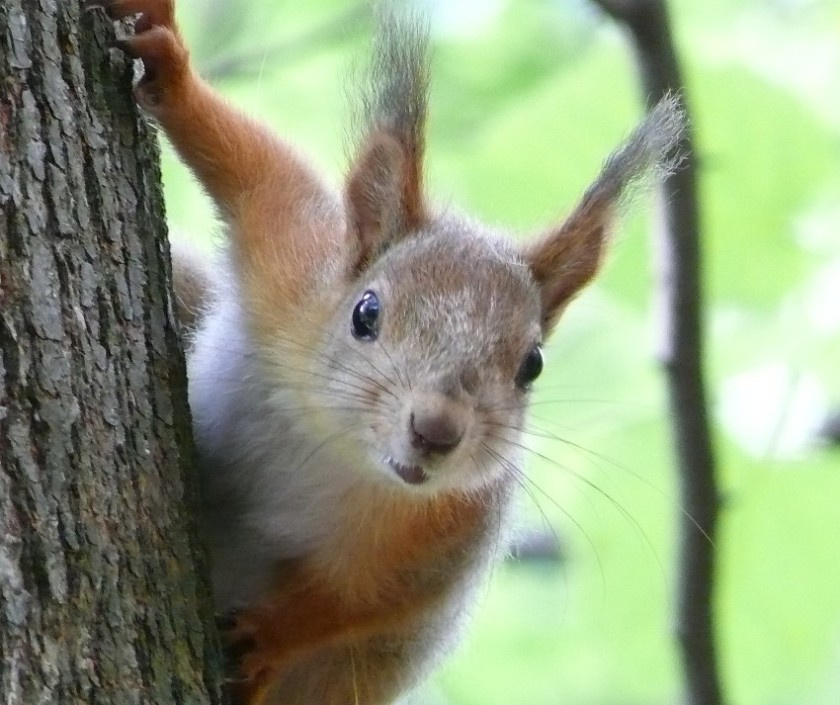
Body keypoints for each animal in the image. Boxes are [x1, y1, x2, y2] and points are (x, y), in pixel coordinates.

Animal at [86, 1, 683, 703]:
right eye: (365, 313)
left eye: (532, 365)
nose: (437, 430)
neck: (344, 453)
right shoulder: (292, 258)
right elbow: (253, 165)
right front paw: (169, 60)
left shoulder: (450, 532)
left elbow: (362, 602)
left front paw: (272, 636)